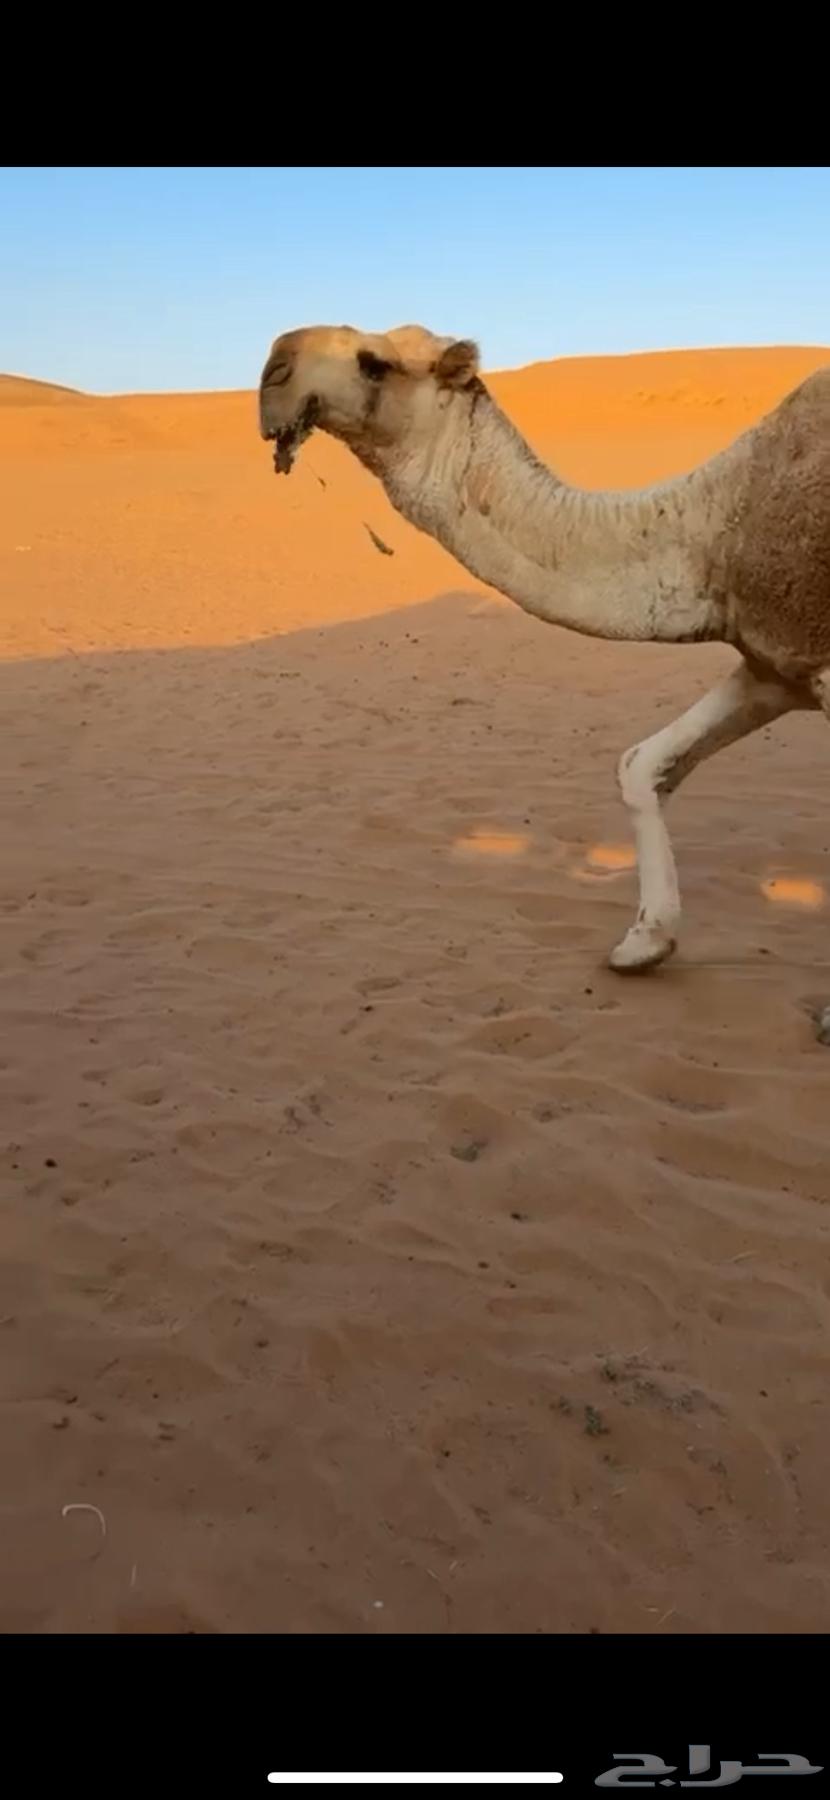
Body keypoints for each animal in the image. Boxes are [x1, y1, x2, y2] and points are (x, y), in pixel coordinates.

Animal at [258, 323, 830, 974]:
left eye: (373, 363)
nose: (274, 370)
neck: (713, 532)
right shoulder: (775, 662)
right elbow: (641, 764)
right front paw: (644, 942)